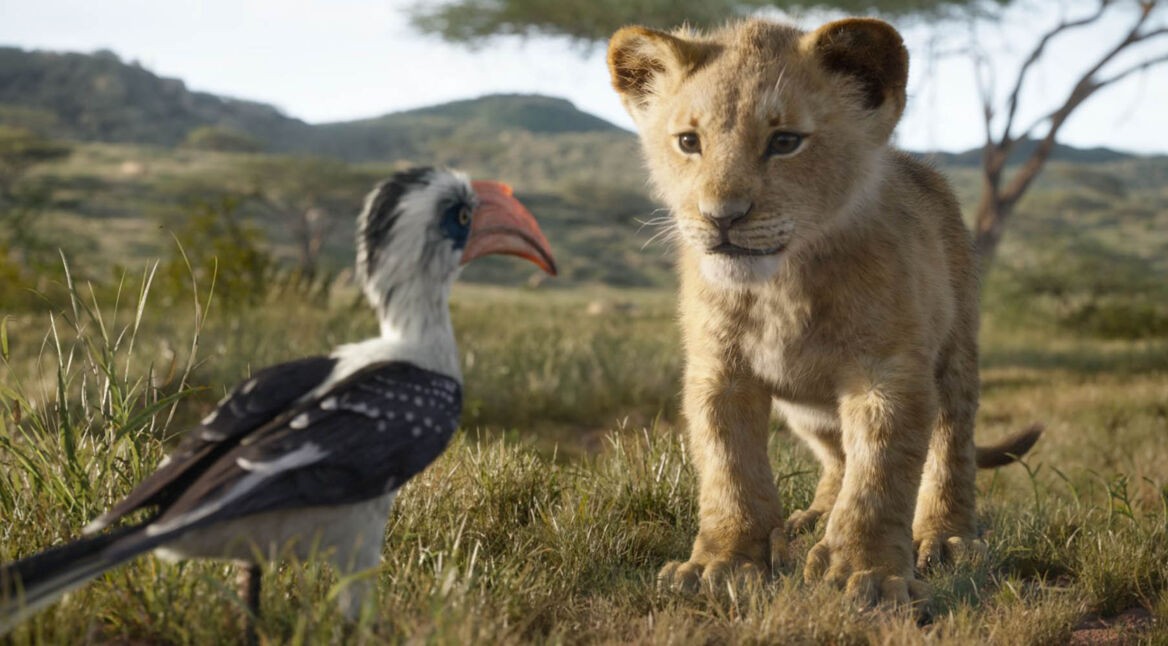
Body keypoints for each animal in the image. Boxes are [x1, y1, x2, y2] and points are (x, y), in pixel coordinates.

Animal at [606, 17, 1041, 605]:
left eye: (785, 141)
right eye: (689, 142)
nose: (721, 217)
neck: (781, 286)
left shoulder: (887, 373)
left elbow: (880, 476)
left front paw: (868, 573)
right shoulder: (719, 373)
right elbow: (729, 469)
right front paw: (722, 563)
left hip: (955, 355)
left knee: (951, 445)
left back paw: (946, 537)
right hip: (807, 410)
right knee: (837, 456)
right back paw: (810, 519)